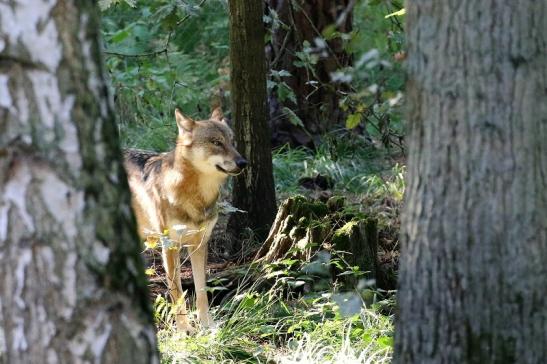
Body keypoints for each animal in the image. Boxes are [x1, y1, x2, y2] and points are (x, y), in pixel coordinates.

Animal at [124, 106, 246, 332]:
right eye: (216, 142)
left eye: (232, 142)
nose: (243, 162)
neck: (196, 196)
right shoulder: (170, 247)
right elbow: (177, 293)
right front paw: (184, 330)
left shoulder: (199, 245)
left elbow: (201, 292)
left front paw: (207, 326)